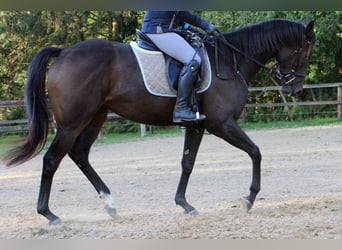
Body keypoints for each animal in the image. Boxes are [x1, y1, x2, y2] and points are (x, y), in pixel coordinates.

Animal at [4, 18, 316, 225]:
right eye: (305, 51)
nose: (295, 89)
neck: (230, 59)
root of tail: (65, 51)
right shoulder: (222, 124)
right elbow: (255, 152)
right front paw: (249, 199)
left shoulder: (197, 125)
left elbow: (187, 163)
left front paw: (184, 204)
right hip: (72, 122)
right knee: (52, 160)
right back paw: (49, 214)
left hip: (96, 117)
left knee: (79, 154)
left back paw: (109, 203)